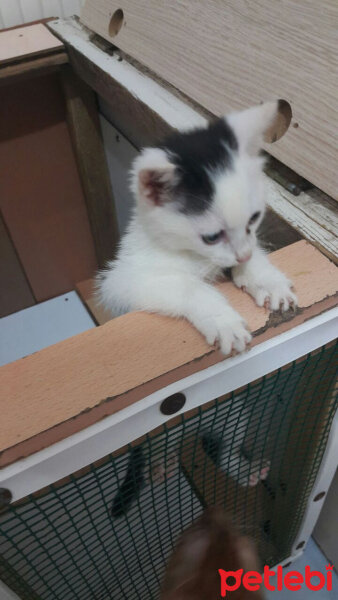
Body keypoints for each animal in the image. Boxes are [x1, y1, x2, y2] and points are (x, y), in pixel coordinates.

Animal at [97, 102, 296, 356]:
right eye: (211, 237)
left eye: (254, 219)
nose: (243, 256)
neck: (192, 252)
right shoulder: (122, 280)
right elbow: (188, 286)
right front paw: (223, 321)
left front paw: (266, 279)